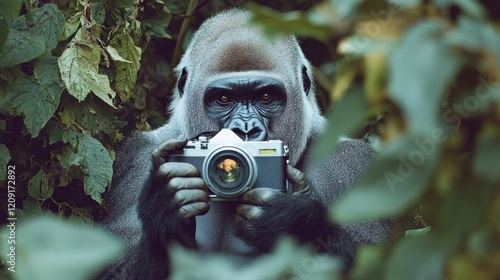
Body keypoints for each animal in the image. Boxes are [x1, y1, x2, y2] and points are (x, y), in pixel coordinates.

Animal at [99, 8, 392, 280]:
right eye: (224, 99)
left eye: (265, 96)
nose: (246, 129)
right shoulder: (137, 160)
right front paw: (166, 210)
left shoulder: (350, 163)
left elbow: (377, 260)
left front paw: (295, 222)